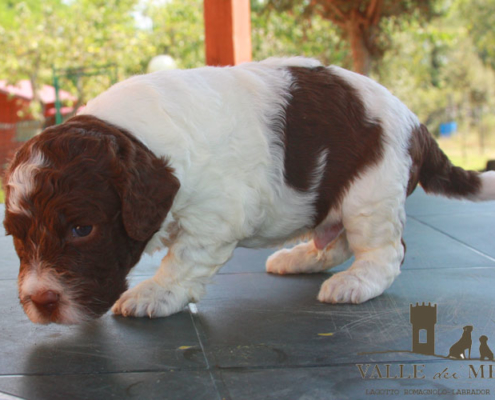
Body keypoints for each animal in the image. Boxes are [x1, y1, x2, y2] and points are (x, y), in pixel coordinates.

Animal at [3, 57, 495, 324]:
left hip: (370, 192)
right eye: (18, 237)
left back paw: (354, 282)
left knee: (386, 251)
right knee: (334, 240)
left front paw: (152, 295)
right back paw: (301, 257)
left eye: (82, 230)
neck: (135, 133)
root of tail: (418, 125)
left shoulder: (213, 217)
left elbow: (182, 260)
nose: (41, 301)